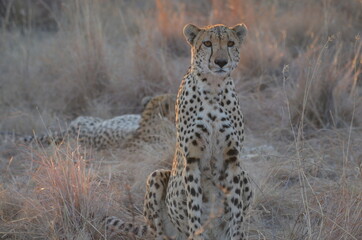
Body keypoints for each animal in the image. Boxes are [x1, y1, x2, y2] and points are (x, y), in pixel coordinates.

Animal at [104, 23, 252, 240]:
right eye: (207, 43)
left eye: (231, 43)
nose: (221, 62)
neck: (213, 88)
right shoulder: (192, 159)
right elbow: (194, 208)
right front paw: (197, 232)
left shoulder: (232, 159)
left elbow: (236, 212)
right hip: (156, 177)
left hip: (244, 175)